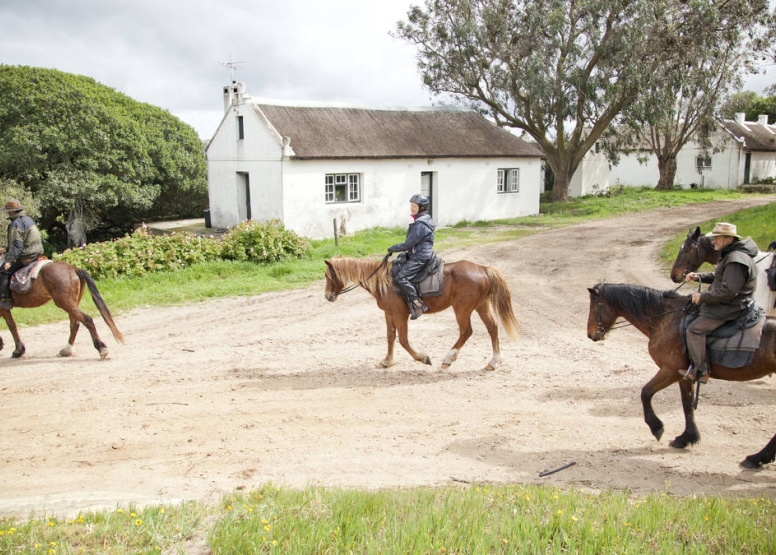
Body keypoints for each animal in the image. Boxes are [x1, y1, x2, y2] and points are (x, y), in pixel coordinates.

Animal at [324, 258, 520, 372]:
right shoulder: (389, 314)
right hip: (481, 305)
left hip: (462, 309)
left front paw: (423, 358)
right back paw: (493, 362)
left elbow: (403, 340)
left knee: (466, 331)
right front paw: (387, 361)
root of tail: (483, 268)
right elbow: (390, 337)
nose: (327, 296)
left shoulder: (400, 315)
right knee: (492, 328)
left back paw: (448, 359)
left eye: (326, 275)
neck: (385, 281)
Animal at [588, 282, 776, 470]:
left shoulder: (670, 370)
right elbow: (687, 404)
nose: (590, 334)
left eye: (594, 305)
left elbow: (646, 393)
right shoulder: (684, 375)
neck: (667, 320)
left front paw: (656, 427)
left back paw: (757, 457)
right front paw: (687, 438)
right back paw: (760, 457)